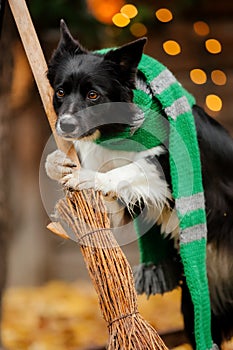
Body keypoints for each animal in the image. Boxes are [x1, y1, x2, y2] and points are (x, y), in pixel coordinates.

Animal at [45, 20, 233, 348]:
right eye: (60, 92)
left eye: (93, 95)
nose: (65, 126)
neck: (118, 128)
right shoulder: (127, 203)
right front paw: (56, 164)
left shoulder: (165, 173)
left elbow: (128, 169)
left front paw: (88, 176)